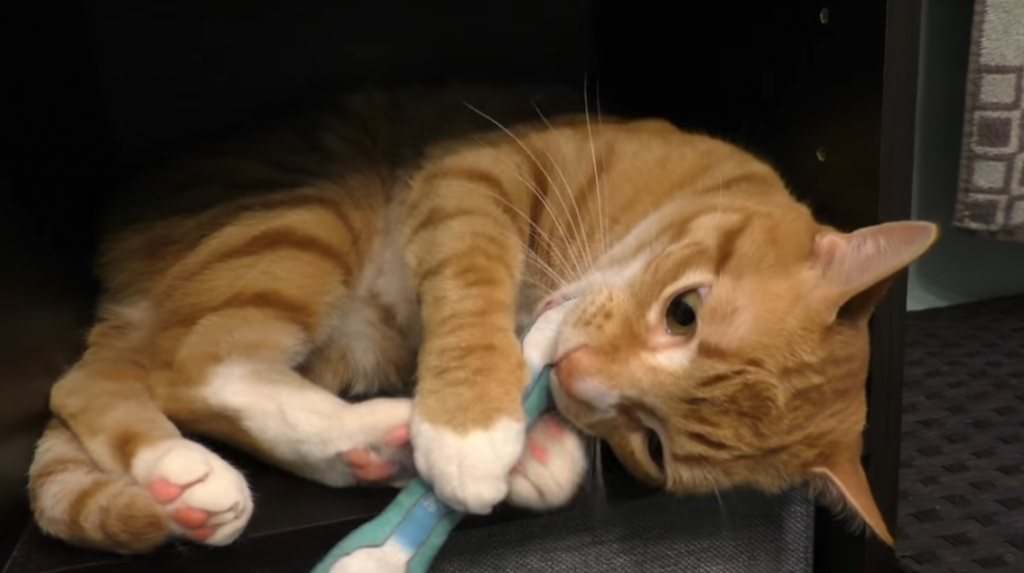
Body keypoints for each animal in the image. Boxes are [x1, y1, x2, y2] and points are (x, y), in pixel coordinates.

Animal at [25, 83, 937, 552]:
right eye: (685, 311)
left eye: (652, 445)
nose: (576, 376)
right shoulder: (475, 173)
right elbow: (472, 296)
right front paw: (474, 428)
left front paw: (539, 449)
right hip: (302, 219)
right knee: (171, 371)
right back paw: (204, 462)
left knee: (125, 379)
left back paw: (363, 444)